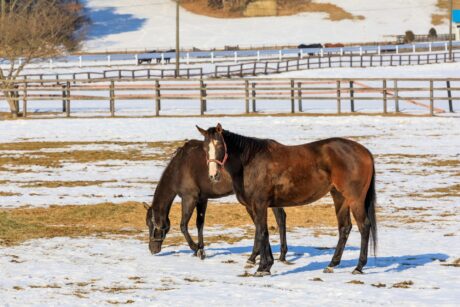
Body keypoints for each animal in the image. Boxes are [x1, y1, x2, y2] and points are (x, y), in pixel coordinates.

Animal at [144, 140, 288, 262]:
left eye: (152, 225)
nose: (152, 249)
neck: (179, 168)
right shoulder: (202, 198)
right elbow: (199, 224)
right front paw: (201, 249)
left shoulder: (189, 198)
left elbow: (183, 225)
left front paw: (196, 249)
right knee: (280, 218)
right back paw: (281, 254)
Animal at [198, 124, 378, 278]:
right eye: (205, 148)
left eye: (220, 146)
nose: (213, 175)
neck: (249, 162)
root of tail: (364, 151)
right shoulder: (257, 206)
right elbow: (263, 232)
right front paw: (266, 266)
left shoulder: (260, 204)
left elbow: (262, 232)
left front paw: (262, 267)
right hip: (339, 196)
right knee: (344, 227)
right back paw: (332, 264)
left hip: (355, 199)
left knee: (364, 226)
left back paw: (359, 267)